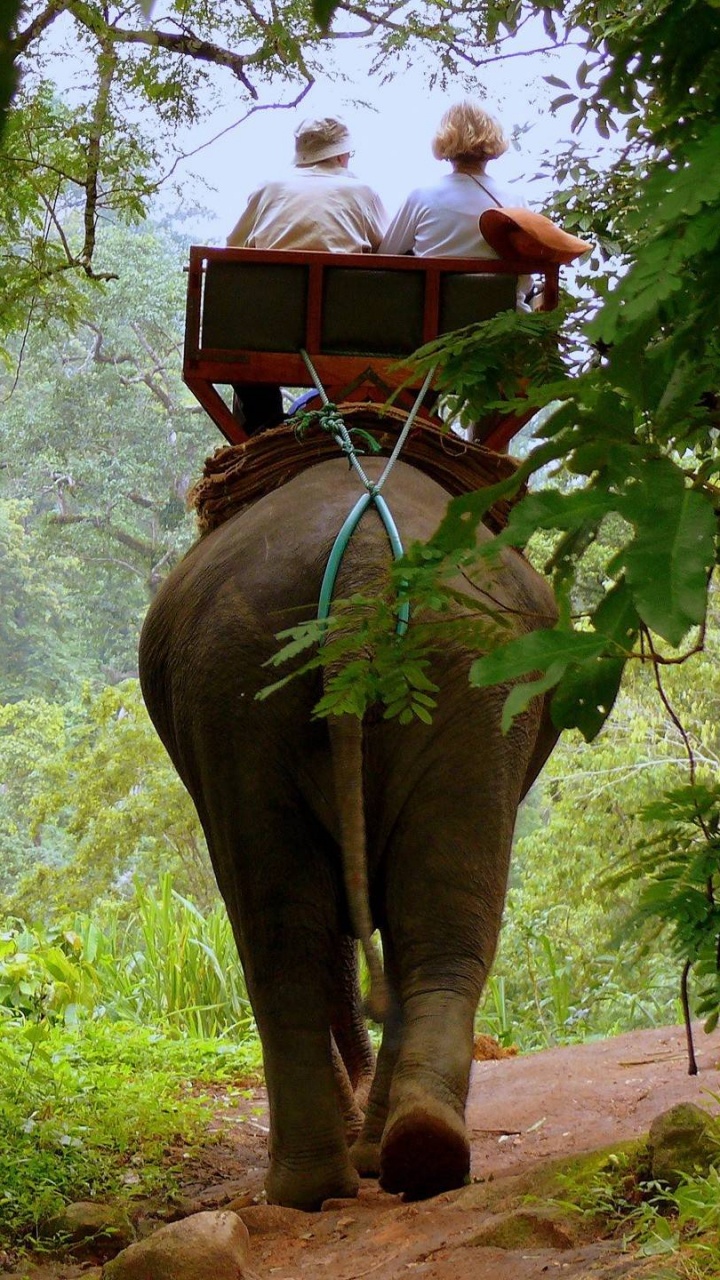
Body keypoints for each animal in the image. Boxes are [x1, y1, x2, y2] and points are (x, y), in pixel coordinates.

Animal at [138, 446, 558, 1212]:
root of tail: (365, 564)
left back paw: (351, 1170)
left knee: (297, 934)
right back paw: (394, 1159)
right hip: (441, 672)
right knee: (412, 927)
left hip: (258, 680)